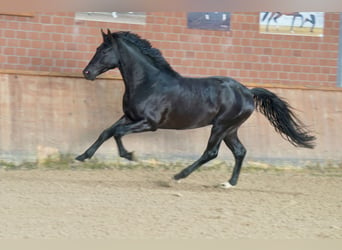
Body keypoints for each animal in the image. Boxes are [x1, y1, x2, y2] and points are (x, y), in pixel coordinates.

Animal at [76, 30, 316, 188]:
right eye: (98, 48)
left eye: (104, 50)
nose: (87, 72)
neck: (148, 83)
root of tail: (248, 92)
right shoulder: (129, 116)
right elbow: (107, 131)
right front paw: (82, 156)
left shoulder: (149, 123)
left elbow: (117, 133)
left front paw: (130, 155)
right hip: (231, 129)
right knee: (240, 151)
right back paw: (229, 183)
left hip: (221, 126)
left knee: (211, 152)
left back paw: (178, 176)